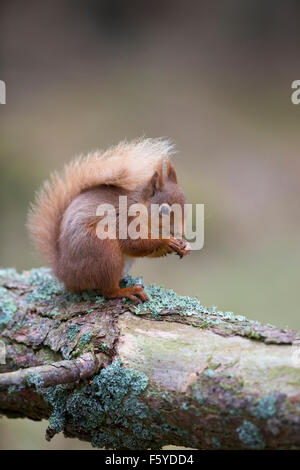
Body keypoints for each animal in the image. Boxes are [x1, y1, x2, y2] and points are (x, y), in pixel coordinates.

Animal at [27, 138, 190, 302]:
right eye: (165, 210)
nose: (181, 232)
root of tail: (64, 274)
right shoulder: (125, 219)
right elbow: (135, 243)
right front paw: (168, 241)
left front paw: (184, 245)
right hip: (104, 251)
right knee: (108, 291)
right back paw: (126, 291)